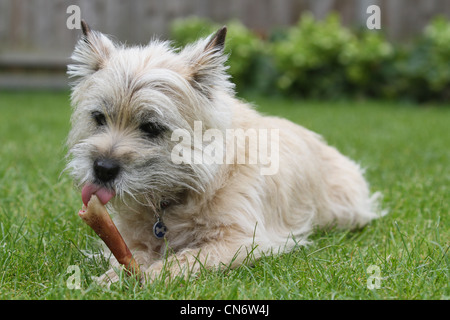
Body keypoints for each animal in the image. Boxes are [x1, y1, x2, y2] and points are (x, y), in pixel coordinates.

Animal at [66, 21, 384, 284]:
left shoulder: (241, 240)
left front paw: (155, 274)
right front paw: (114, 276)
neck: (175, 197)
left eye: (152, 127)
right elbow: (129, 255)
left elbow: (187, 258)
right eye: (99, 118)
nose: (102, 169)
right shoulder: (130, 239)